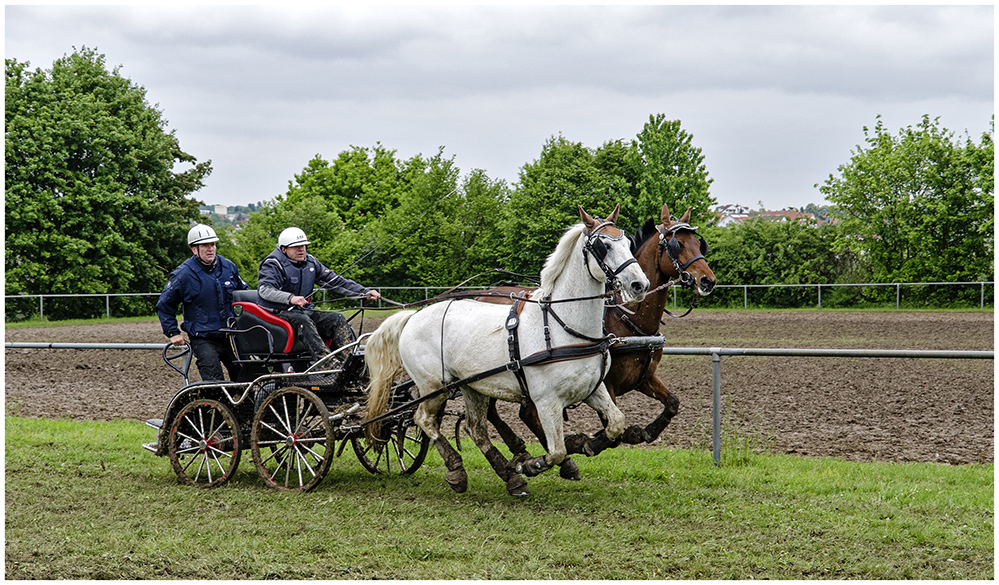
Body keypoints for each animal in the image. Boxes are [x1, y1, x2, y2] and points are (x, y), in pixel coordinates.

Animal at [364, 204, 652, 492]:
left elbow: (616, 424)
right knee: (423, 419)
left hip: (472, 386)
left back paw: (509, 476)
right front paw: (532, 464)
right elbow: (556, 450)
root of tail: (413, 315)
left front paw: (586, 444)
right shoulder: (546, 401)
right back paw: (458, 470)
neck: (562, 326)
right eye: (604, 246)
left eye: (628, 243)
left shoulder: (593, 388)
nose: (640, 285)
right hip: (434, 386)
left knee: (476, 429)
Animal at [480, 203, 716, 472]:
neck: (628, 318)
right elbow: (614, 433)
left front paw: (647, 431)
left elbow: (673, 403)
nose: (708, 280)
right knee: (500, 412)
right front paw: (591, 442)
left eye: (699, 244)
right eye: (678, 244)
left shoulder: (644, 377)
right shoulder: (607, 384)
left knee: (516, 413)